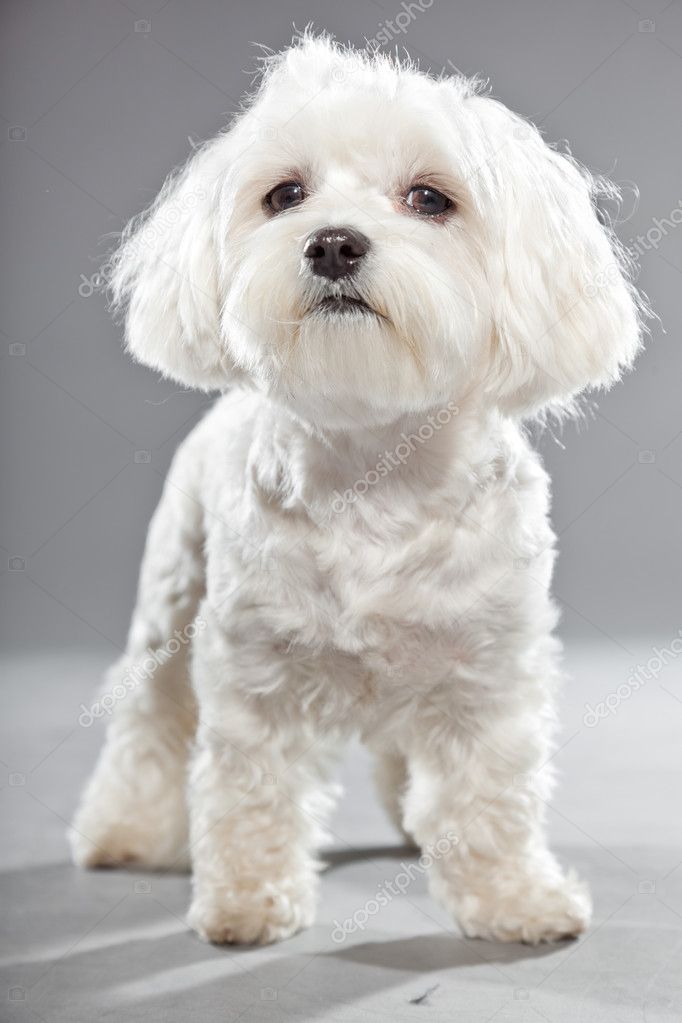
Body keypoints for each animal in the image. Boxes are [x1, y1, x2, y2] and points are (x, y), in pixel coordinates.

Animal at [72, 31, 642, 945]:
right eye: (285, 194)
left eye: (429, 198)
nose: (333, 242)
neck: (376, 469)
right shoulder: (252, 672)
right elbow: (249, 788)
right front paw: (246, 901)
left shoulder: (489, 672)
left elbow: (491, 796)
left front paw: (513, 900)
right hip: (169, 606)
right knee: (149, 724)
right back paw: (125, 830)